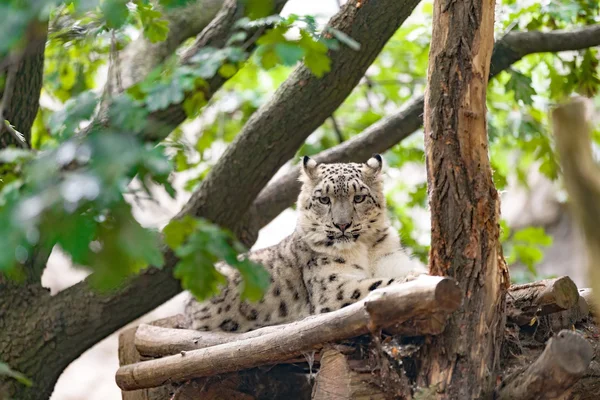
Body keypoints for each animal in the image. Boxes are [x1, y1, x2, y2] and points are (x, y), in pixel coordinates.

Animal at [185, 155, 428, 332]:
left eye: (359, 198)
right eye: (324, 199)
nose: (342, 225)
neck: (364, 250)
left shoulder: (393, 261)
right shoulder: (333, 289)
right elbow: (376, 284)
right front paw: (414, 277)